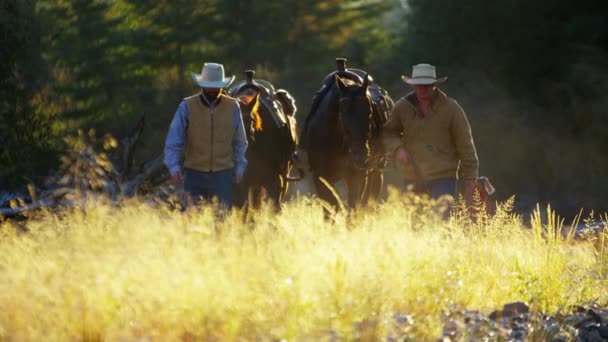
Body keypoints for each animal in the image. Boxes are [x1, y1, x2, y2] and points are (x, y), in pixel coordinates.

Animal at [300, 58, 394, 208]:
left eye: (370, 112)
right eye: (343, 112)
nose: (360, 155)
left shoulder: (356, 177)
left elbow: (353, 205)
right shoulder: (320, 178)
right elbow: (331, 207)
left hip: (376, 172)